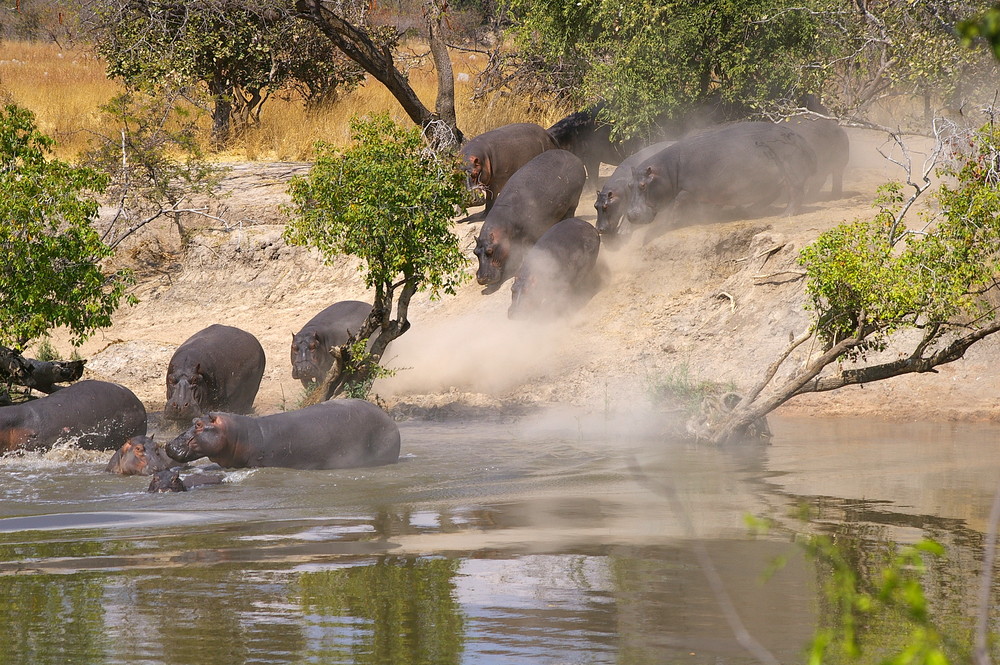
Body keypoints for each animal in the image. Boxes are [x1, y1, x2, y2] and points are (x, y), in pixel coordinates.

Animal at [474, 149, 588, 286]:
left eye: (490, 251)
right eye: (475, 252)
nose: (481, 279)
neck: (503, 228)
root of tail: (574, 156)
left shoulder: (527, 236)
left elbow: (525, 252)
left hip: (574, 199)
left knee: (570, 212)